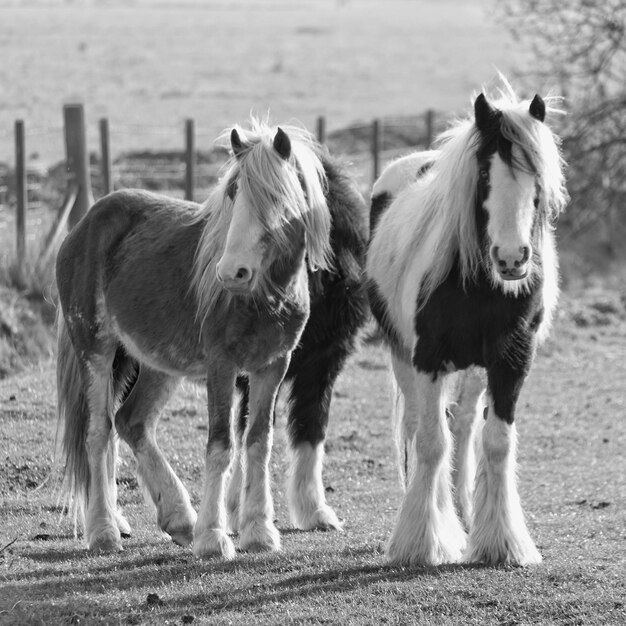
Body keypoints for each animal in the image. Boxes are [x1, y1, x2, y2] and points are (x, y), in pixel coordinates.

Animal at [56, 118, 368, 556]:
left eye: (277, 198)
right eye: (233, 192)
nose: (231, 272)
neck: (263, 297)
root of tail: (86, 222)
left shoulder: (273, 366)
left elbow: (258, 442)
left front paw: (258, 531)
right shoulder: (223, 366)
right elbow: (221, 444)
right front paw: (215, 537)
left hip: (157, 364)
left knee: (131, 422)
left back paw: (178, 518)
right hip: (96, 351)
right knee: (99, 431)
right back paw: (104, 531)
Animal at [366, 79, 564, 564]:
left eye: (536, 178)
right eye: (486, 175)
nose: (512, 259)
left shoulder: (512, 361)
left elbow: (496, 440)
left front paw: (501, 542)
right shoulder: (427, 357)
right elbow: (431, 442)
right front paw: (423, 540)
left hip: (476, 368)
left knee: (465, 422)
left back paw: (464, 513)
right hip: (402, 356)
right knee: (418, 428)